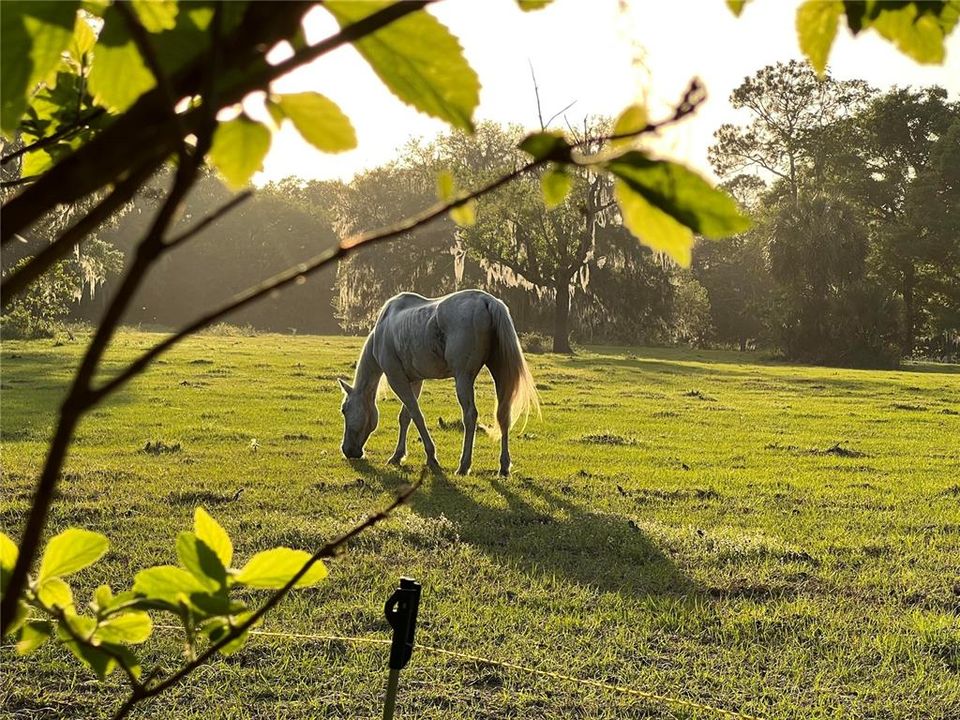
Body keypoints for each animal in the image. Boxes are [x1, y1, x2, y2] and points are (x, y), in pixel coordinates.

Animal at [338, 290, 536, 476]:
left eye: (344, 410)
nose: (347, 450)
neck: (384, 328)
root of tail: (486, 301)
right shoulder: (414, 381)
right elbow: (405, 417)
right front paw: (397, 456)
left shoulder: (397, 378)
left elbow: (416, 415)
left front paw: (431, 457)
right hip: (500, 373)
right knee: (503, 415)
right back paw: (503, 467)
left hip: (463, 378)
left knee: (470, 416)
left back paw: (464, 466)